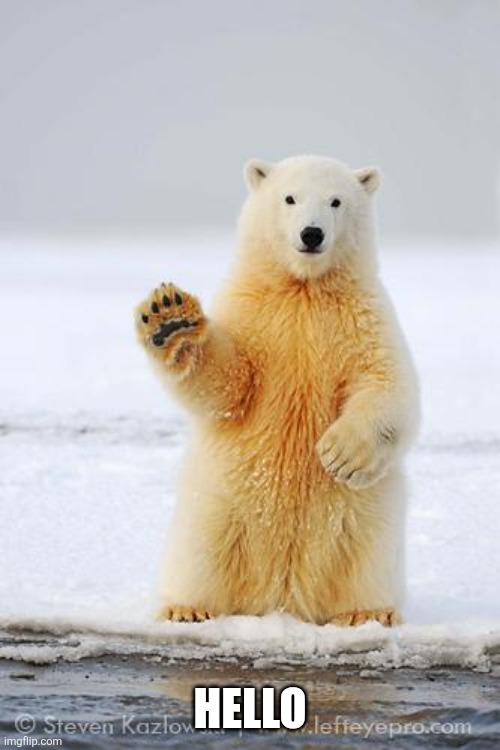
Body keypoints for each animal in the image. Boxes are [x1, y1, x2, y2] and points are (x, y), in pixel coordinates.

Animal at [135, 155, 419, 627]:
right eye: (290, 198)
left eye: (336, 201)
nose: (312, 233)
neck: (303, 288)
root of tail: (283, 596)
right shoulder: (253, 314)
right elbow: (230, 384)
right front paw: (171, 320)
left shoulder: (364, 318)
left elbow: (386, 383)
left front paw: (340, 454)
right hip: (216, 505)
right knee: (200, 551)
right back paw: (186, 607)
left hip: (368, 517)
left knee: (368, 555)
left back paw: (366, 614)